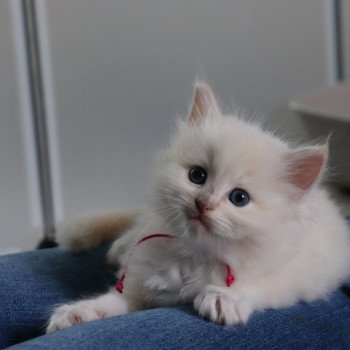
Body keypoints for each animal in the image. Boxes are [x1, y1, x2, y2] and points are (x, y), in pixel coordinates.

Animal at [47, 80, 350, 332]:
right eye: (197, 176)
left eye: (239, 198)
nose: (203, 203)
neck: (193, 255)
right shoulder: (138, 285)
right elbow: (112, 301)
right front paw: (77, 313)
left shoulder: (299, 273)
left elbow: (260, 284)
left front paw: (223, 298)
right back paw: (118, 248)